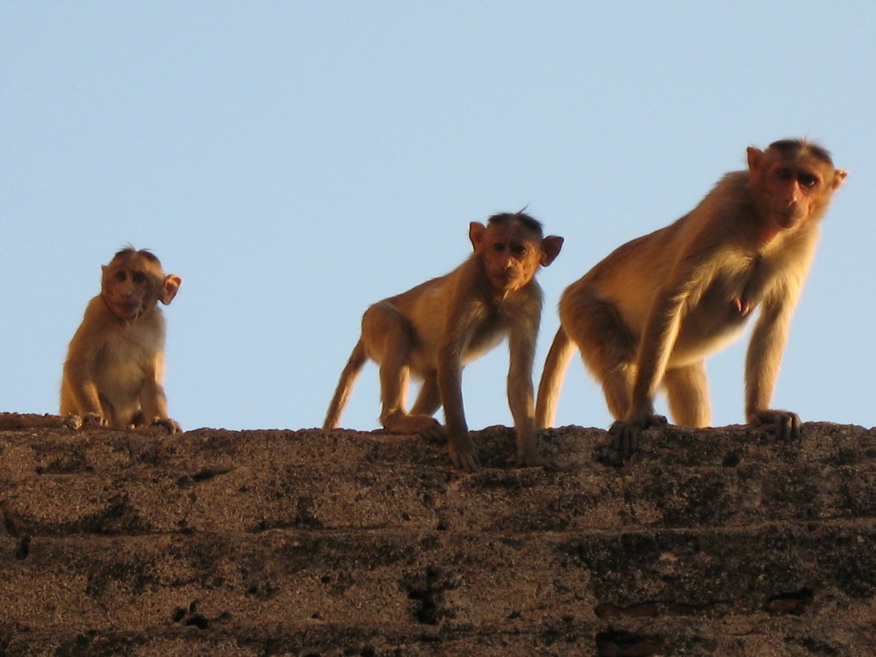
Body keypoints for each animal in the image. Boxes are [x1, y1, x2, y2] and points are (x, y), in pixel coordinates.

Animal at [60, 247, 183, 432]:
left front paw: (162, 420)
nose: (126, 292)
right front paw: (92, 415)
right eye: (121, 276)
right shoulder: (97, 311)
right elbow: (79, 364)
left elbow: (150, 378)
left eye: (139, 279)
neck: (128, 322)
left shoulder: (157, 324)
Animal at [324, 212, 564, 472]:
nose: (507, 264)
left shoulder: (531, 300)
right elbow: (449, 354)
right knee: (396, 327)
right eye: (499, 247)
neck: (499, 293)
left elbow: (518, 375)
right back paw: (397, 418)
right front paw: (461, 445)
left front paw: (530, 454)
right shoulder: (469, 280)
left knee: (437, 377)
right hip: (374, 322)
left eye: (519, 249)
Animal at [536, 139, 846, 461]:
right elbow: (673, 296)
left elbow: (774, 320)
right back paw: (630, 414)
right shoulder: (725, 206)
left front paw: (761, 412)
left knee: (687, 382)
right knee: (614, 353)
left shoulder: (805, 239)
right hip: (583, 309)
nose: (791, 198)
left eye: (808, 181)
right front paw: (639, 415)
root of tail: (575, 287)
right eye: (783, 174)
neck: (765, 228)